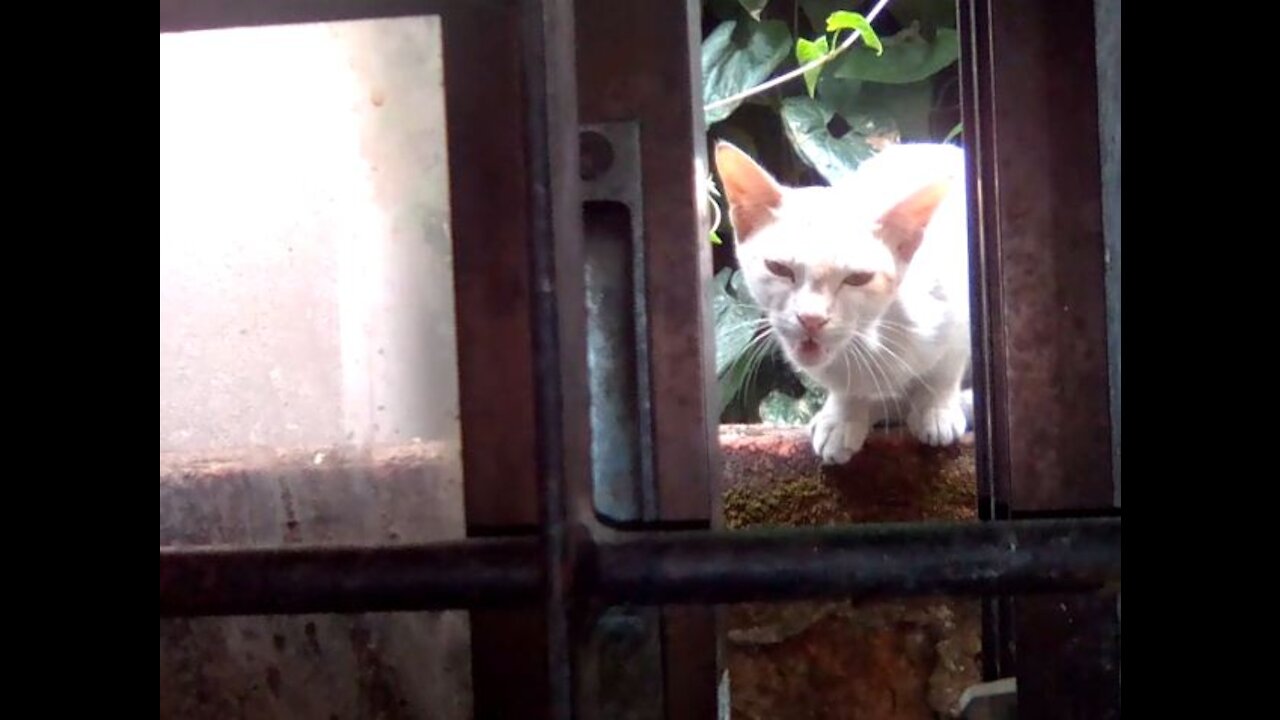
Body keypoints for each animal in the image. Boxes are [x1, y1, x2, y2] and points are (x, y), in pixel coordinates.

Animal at [716, 141, 972, 466]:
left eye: (858, 278)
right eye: (778, 268)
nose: (811, 318)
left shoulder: (959, 310)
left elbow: (945, 369)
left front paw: (937, 408)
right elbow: (849, 388)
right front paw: (844, 415)